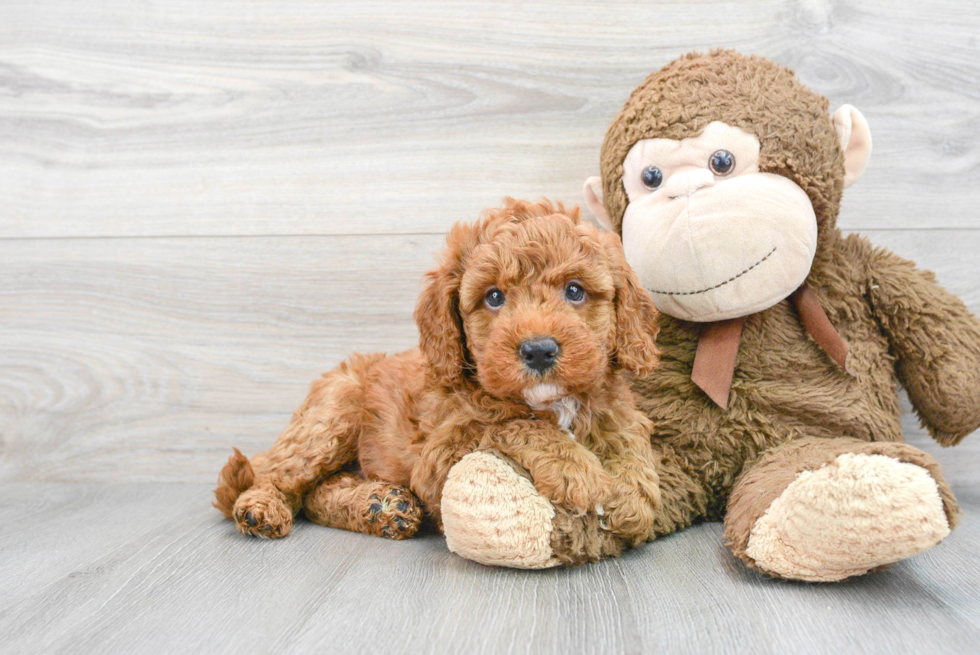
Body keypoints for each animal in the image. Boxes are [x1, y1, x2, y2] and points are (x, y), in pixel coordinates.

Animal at [213, 200, 660, 548]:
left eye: (575, 290)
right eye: (494, 297)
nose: (538, 350)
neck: (553, 401)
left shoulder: (613, 407)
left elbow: (627, 437)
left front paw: (632, 496)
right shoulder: (440, 457)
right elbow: (513, 423)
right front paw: (576, 470)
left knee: (317, 493)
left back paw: (381, 507)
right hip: (329, 418)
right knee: (273, 475)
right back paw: (260, 508)